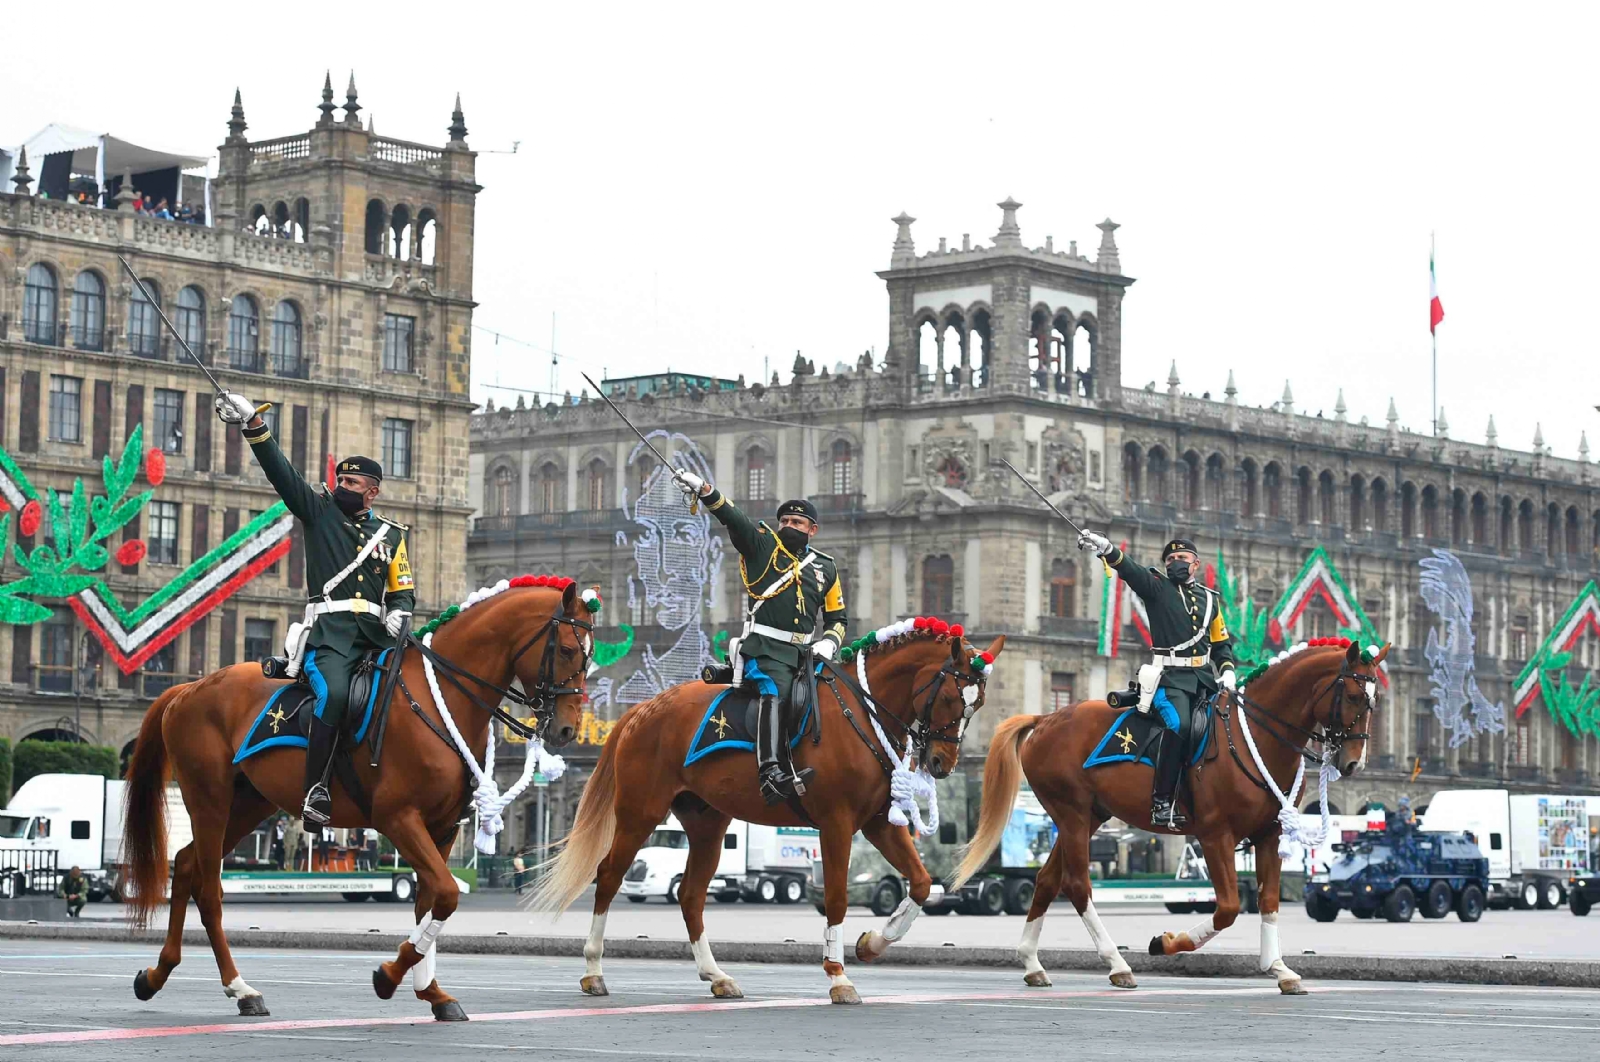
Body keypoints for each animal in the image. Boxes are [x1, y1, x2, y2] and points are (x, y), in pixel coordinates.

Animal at [121, 575, 592, 1017]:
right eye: (569, 650)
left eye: (590, 655)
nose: (568, 729)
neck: (439, 697)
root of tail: (188, 689)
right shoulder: (397, 818)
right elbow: (446, 894)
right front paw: (389, 976)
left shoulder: (441, 828)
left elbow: (430, 902)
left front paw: (431, 992)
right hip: (209, 799)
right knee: (208, 888)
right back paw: (240, 987)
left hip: (249, 803)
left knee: (185, 866)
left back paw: (158, 975)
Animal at [531, 626, 998, 1010]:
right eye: (952, 698)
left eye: (978, 704)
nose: (941, 763)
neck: (861, 713)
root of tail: (642, 709)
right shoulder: (837, 823)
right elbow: (837, 898)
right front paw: (838, 977)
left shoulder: (878, 822)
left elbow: (920, 882)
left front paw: (872, 944)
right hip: (638, 813)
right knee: (609, 876)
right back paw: (593, 970)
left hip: (706, 825)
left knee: (691, 895)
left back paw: (716, 975)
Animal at [953, 639, 1382, 998]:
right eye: (1354, 696)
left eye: (1375, 703)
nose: (1354, 764)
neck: (1254, 739)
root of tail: (1046, 718)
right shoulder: (1215, 836)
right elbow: (1228, 908)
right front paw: (1167, 943)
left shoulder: (1269, 835)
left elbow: (1269, 901)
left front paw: (1279, 968)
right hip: (1072, 814)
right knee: (1076, 885)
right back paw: (1117, 964)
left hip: (1089, 816)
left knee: (1046, 880)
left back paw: (1032, 963)